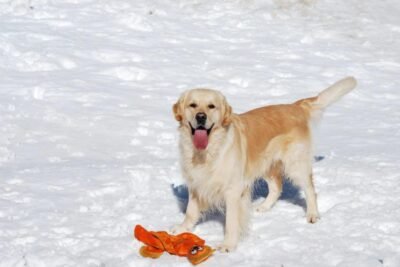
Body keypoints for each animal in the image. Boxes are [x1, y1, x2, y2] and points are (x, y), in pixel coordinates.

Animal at [171, 77, 356, 253]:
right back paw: (264, 207)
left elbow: (231, 221)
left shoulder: (233, 190)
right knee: (277, 187)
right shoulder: (196, 183)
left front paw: (228, 245)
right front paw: (182, 229)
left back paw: (312, 215)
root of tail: (295, 107)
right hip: (266, 163)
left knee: (310, 189)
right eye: (192, 105)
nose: (201, 116)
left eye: (211, 106)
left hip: (295, 164)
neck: (208, 150)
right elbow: (190, 211)